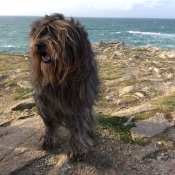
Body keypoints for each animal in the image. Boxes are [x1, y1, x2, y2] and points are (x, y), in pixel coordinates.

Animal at [29, 13, 99, 159]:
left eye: (55, 35)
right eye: (40, 33)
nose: (38, 44)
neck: (59, 76)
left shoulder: (78, 102)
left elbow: (78, 126)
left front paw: (77, 147)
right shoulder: (44, 100)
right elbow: (49, 122)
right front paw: (48, 139)